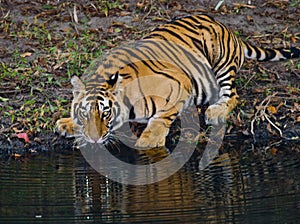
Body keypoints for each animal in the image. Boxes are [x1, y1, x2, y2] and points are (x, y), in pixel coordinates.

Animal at [55, 13, 298, 147]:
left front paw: (149, 140)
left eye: (105, 113)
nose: (94, 139)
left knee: (232, 94)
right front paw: (67, 124)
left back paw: (215, 111)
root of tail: (226, 28)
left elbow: (162, 116)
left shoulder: (181, 83)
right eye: (85, 113)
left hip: (220, 61)